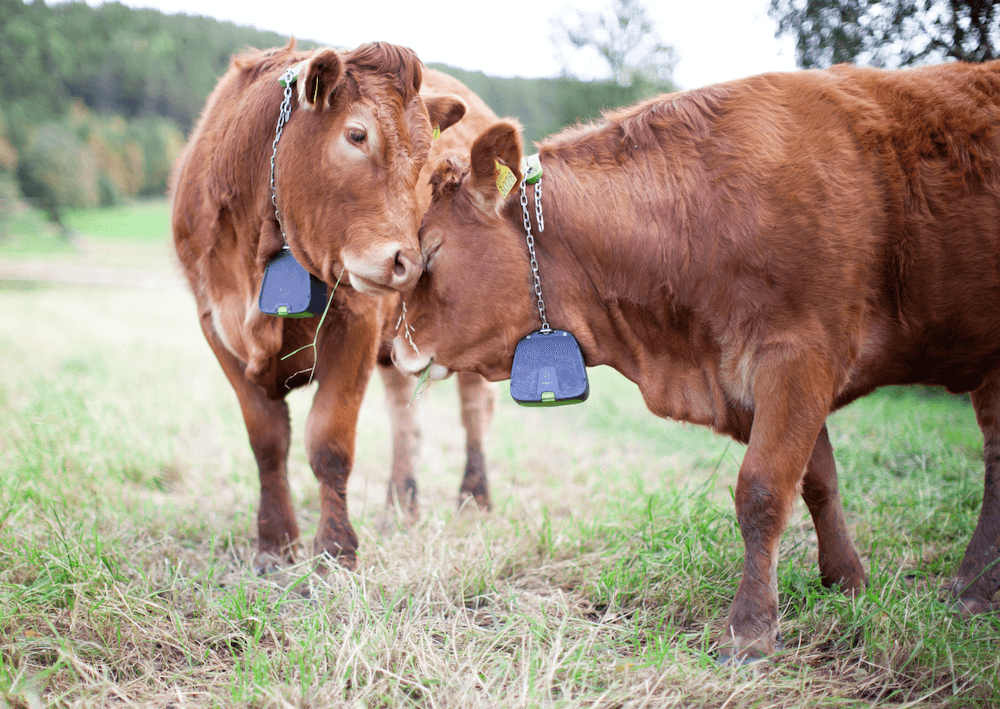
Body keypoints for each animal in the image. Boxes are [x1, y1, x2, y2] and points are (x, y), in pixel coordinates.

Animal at [175, 40, 500, 568]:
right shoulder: (216, 325)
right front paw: (274, 542)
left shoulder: (356, 321)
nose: (408, 263)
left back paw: (474, 499)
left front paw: (335, 550)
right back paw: (400, 507)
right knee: (404, 416)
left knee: (474, 410)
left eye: (424, 156)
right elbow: (267, 441)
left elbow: (330, 441)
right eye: (357, 135)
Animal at [394, 60, 1000, 660]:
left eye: (434, 251)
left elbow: (763, 490)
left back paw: (970, 587)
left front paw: (750, 630)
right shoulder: (765, 381)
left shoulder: (799, 356)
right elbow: (818, 482)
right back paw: (976, 585)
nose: (398, 350)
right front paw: (846, 581)